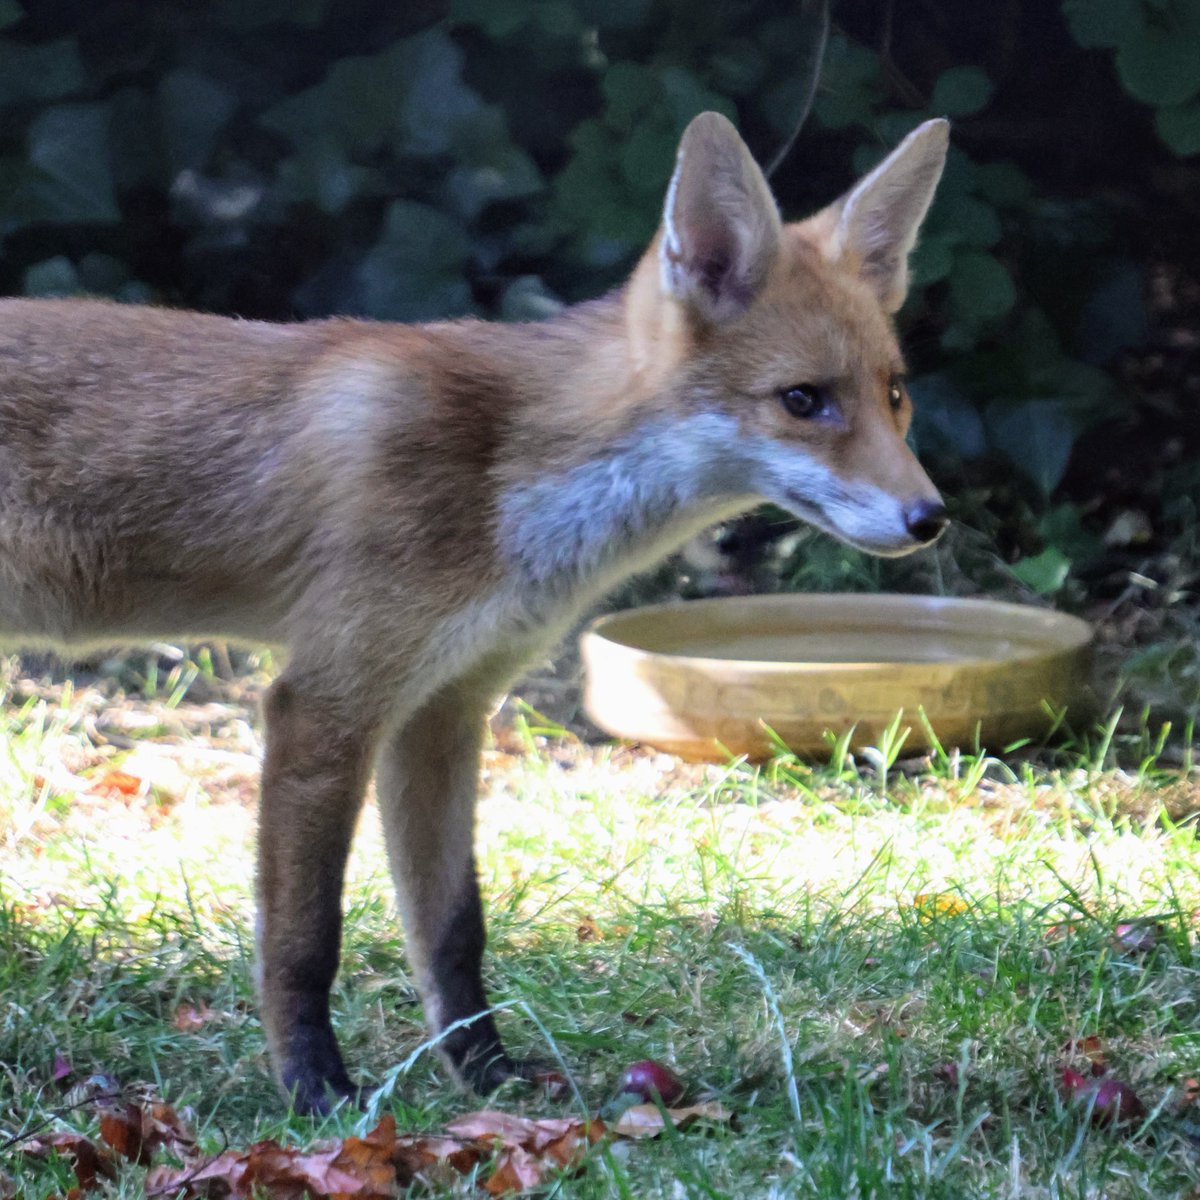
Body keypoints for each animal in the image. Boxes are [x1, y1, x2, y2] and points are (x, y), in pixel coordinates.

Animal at [0, 112, 949, 1113]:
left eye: (893, 391)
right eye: (802, 400)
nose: (930, 518)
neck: (514, 476)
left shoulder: (444, 709)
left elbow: (455, 928)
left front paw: (485, 1075)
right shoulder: (327, 702)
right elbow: (304, 937)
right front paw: (314, 1092)